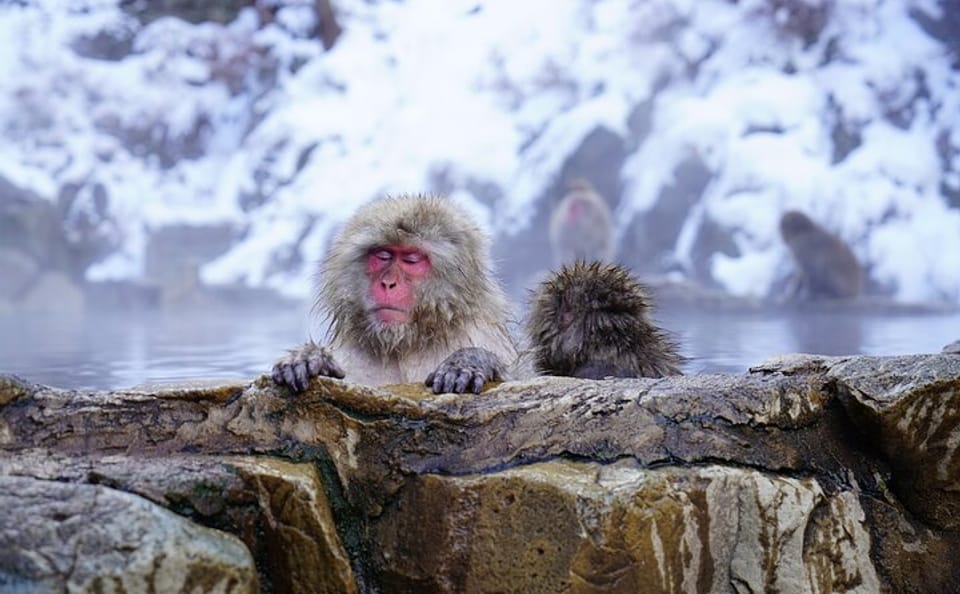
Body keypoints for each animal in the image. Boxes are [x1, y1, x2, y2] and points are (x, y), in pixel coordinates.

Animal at [272, 194, 517, 394]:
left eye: (411, 259)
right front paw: (309, 358)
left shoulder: (481, 334)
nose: (388, 283)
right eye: (383, 255)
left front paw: (468, 362)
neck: (405, 343)